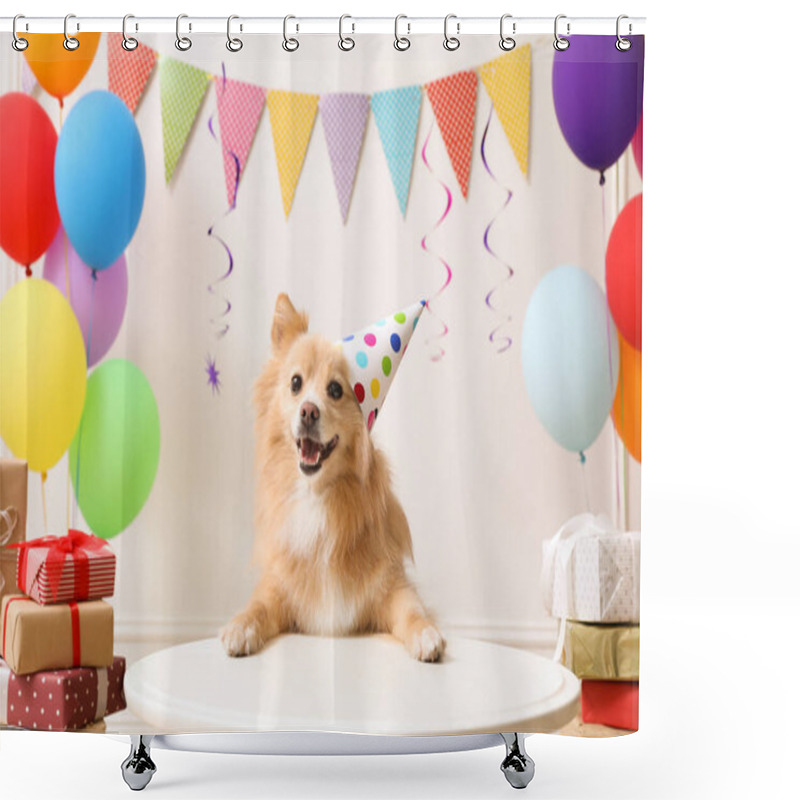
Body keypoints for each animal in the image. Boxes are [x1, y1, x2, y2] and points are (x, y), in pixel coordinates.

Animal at [220, 294, 444, 664]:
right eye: (296, 383)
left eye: (336, 390)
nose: (308, 411)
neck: (317, 495)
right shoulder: (279, 587)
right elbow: (258, 606)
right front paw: (240, 626)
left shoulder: (391, 586)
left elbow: (412, 611)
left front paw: (426, 633)